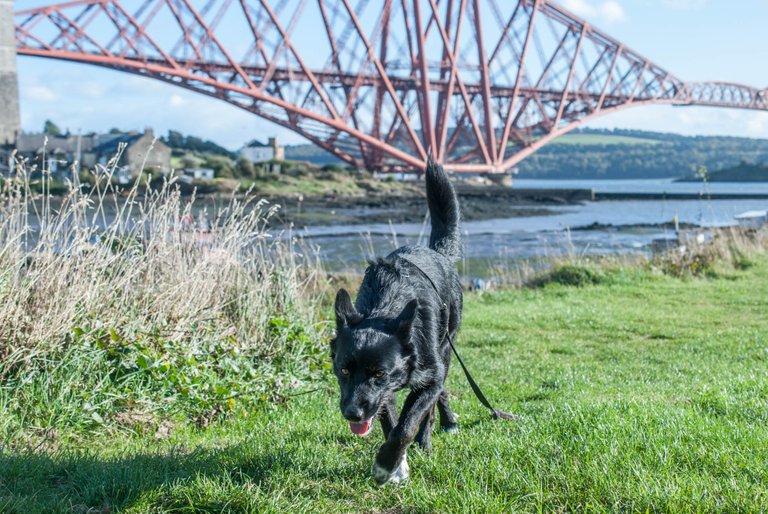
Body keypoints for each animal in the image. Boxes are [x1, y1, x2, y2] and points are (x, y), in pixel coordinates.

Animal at [330, 158, 462, 482]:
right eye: (343, 370)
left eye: (379, 373)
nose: (352, 414)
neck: (385, 309)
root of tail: (437, 253)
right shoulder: (382, 396)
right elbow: (390, 424)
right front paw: (397, 465)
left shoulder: (422, 380)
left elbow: (407, 424)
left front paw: (386, 464)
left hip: (446, 349)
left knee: (434, 401)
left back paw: (433, 435)